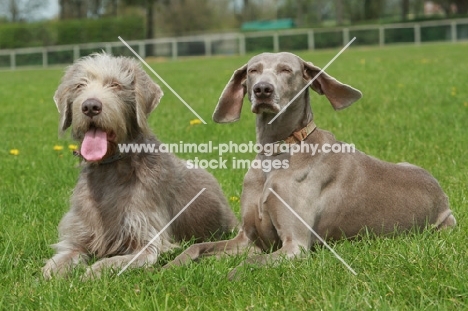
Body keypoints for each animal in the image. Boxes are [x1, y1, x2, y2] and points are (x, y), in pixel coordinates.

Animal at [43, 53, 238, 280]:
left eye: (116, 85)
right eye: (79, 85)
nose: (90, 106)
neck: (112, 166)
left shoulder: (147, 240)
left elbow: (114, 261)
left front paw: (91, 273)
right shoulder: (80, 233)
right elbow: (65, 255)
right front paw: (51, 273)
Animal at [165, 52, 458, 274]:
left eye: (286, 70)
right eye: (253, 70)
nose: (262, 90)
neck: (277, 152)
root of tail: (441, 194)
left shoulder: (295, 247)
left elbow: (250, 263)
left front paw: (230, 274)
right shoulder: (248, 238)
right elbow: (197, 247)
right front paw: (168, 268)